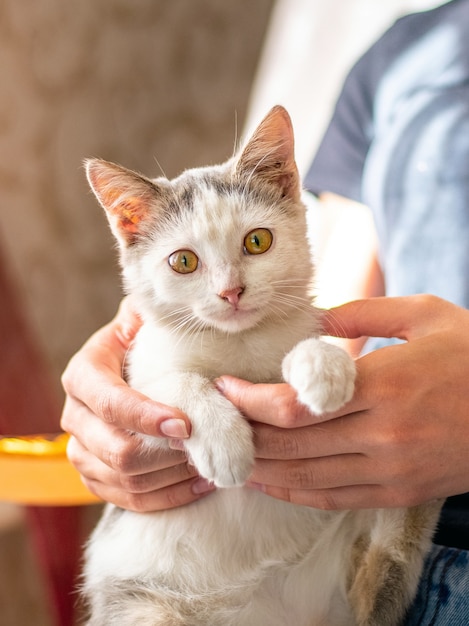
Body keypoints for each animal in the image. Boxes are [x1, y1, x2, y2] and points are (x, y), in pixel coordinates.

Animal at [82, 105, 440, 620]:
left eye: (257, 241)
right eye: (184, 262)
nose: (231, 292)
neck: (239, 344)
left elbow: (307, 342)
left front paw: (324, 366)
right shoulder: (137, 390)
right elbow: (172, 385)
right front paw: (224, 442)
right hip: (141, 605)